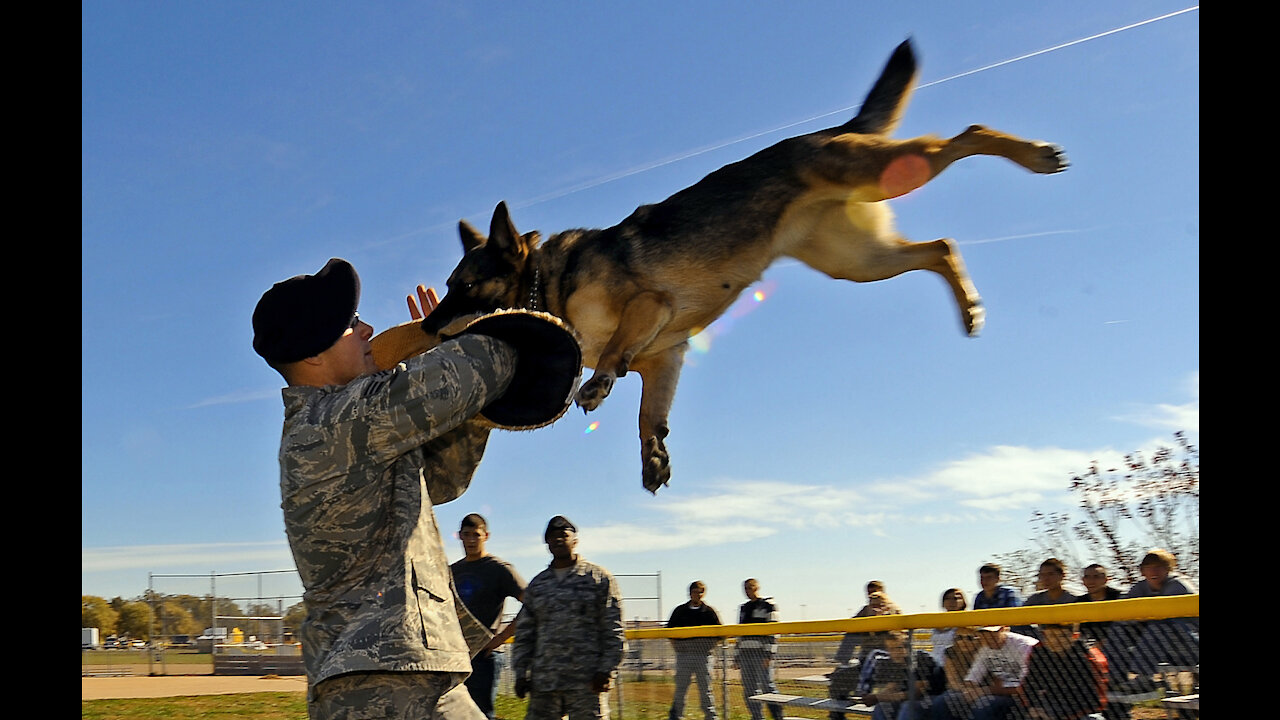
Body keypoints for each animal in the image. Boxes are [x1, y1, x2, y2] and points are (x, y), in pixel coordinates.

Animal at [414, 40, 1064, 491]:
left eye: (463, 286)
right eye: (446, 286)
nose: (425, 327)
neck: (547, 284)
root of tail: (835, 129)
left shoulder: (650, 310)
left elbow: (616, 353)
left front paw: (598, 384)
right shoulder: (666, 358)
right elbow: (648, 415)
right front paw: (653, 456)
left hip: (883, 177)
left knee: (967, 135)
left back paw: (1035, 155)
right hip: (860, 261)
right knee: (942, 247)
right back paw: (970, 307)